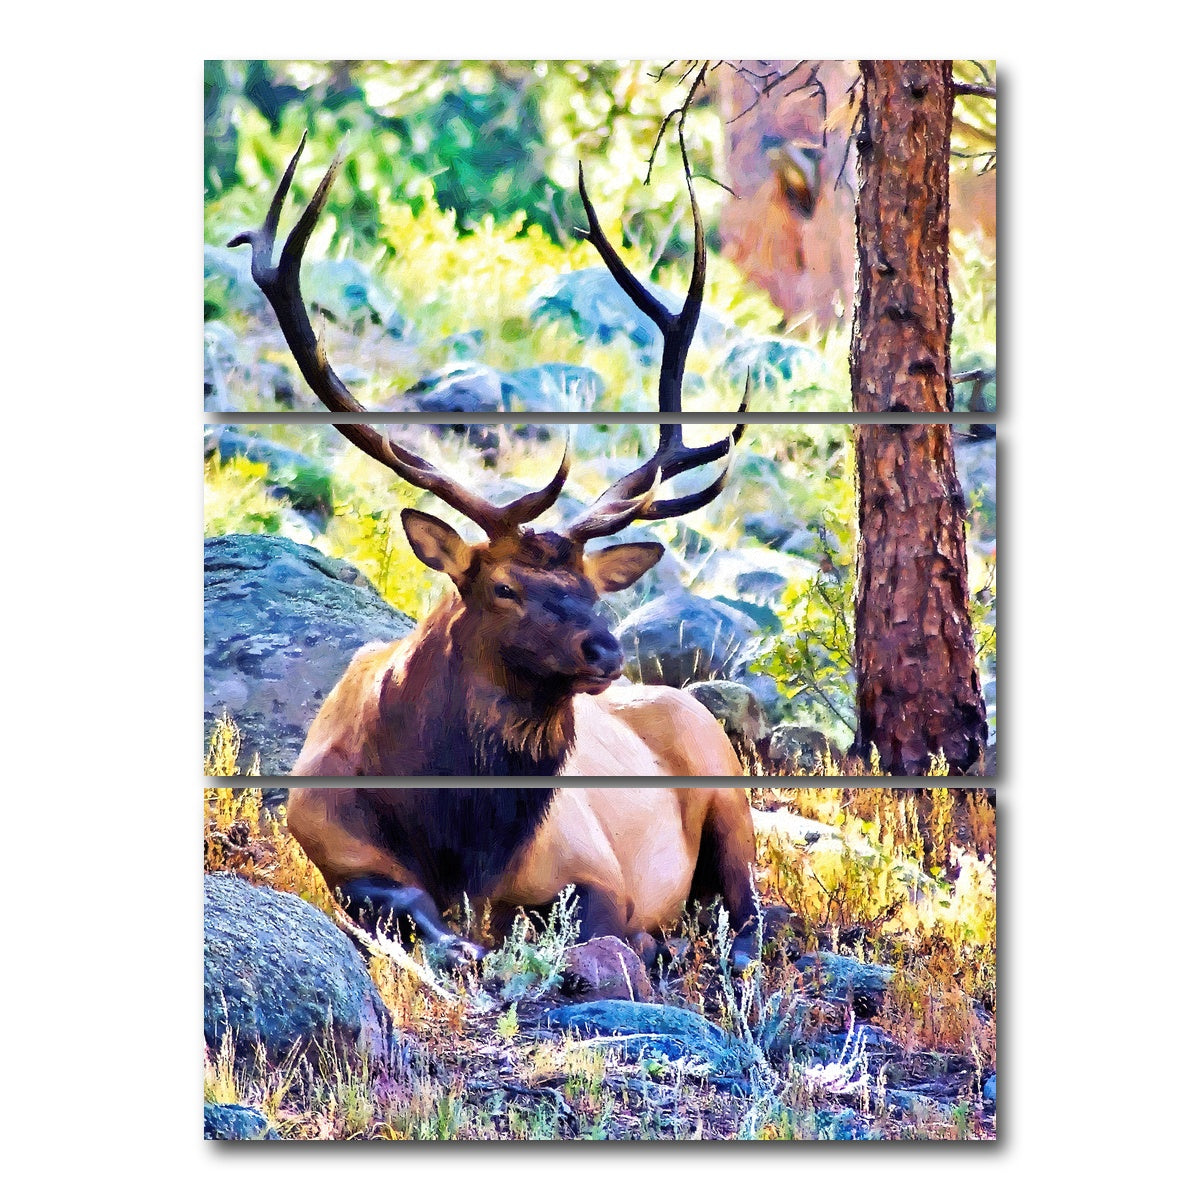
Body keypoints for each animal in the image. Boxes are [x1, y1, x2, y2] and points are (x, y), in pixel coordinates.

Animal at [229, 135, 761, 972]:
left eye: (594, 591)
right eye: (505, 589)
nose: (606, 650)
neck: (460, 839)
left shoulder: (596, 867)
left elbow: (601, 921)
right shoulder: (328, 842)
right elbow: (409, 907)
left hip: (729, 790)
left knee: (752, 910)